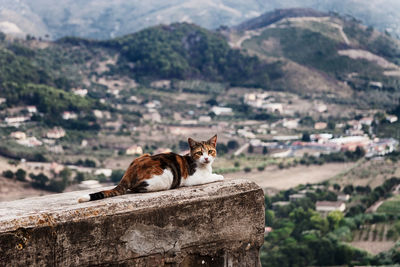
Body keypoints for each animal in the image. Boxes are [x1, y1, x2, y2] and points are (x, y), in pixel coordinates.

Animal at [76, 135, 223, 202]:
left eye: (210, 151)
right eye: (199, 153)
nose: (206, 158)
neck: (205, 166)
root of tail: (128, 173)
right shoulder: (192, 178)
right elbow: (210, 177)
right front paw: (219, 176)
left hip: (143, 155)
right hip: (165, 178)